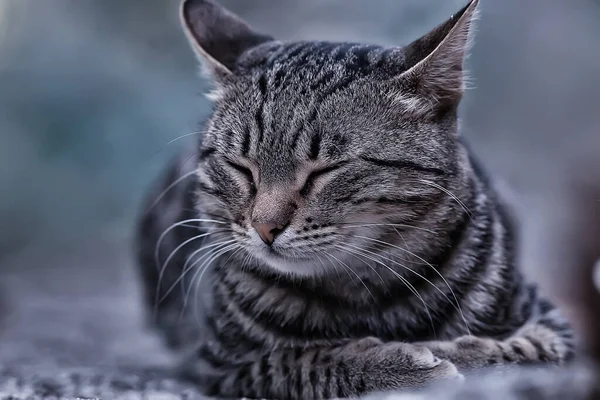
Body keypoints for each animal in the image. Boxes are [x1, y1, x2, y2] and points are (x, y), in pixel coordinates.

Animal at [136, 1, 576, 398]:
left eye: (325, 170)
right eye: (241, 167)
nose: (265, 227)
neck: (364, 289)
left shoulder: (554, 325)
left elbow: (527, 352)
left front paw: (454, 353)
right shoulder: (224, 362)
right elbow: (304, 361)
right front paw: (404, 365)